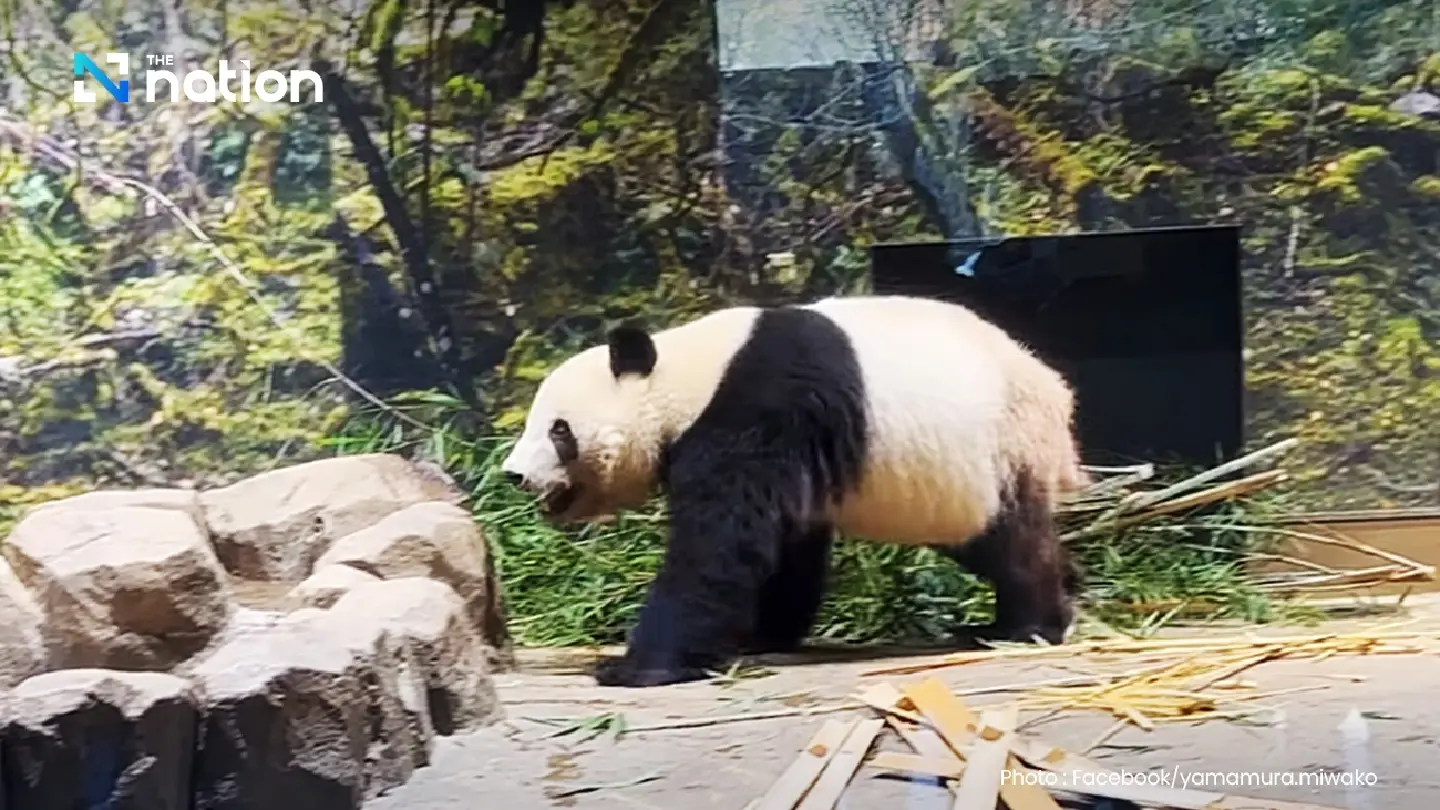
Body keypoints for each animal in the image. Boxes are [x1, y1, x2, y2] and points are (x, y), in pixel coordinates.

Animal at [500, 294, 1088, 688]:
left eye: (558, 430)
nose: (513, 475)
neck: (688, 376)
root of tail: (1055, 393)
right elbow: (784, 545)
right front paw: (764, 634)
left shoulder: (758, 409)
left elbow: (718, 546)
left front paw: (636, 665)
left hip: (990, 452)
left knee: (1009, 541)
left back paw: (1028, 624)